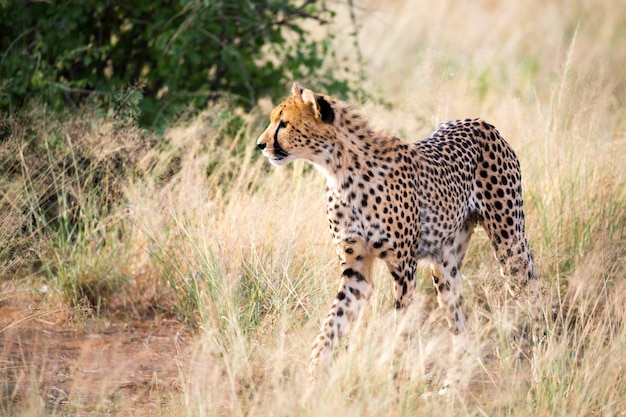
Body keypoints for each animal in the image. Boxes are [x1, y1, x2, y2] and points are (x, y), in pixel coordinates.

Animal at [255, 83, 536, 376]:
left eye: (284, 124)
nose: (260, 145)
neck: (339, 172)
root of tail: (479, 121)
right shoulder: (356, 271)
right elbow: (331, 324)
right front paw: (314, 372)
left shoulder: (404, 267)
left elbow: (401, 327)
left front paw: (393, 374)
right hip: (445, 266)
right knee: (459, 323)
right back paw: (452, 381)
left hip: (510, 244)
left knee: (531, 292)